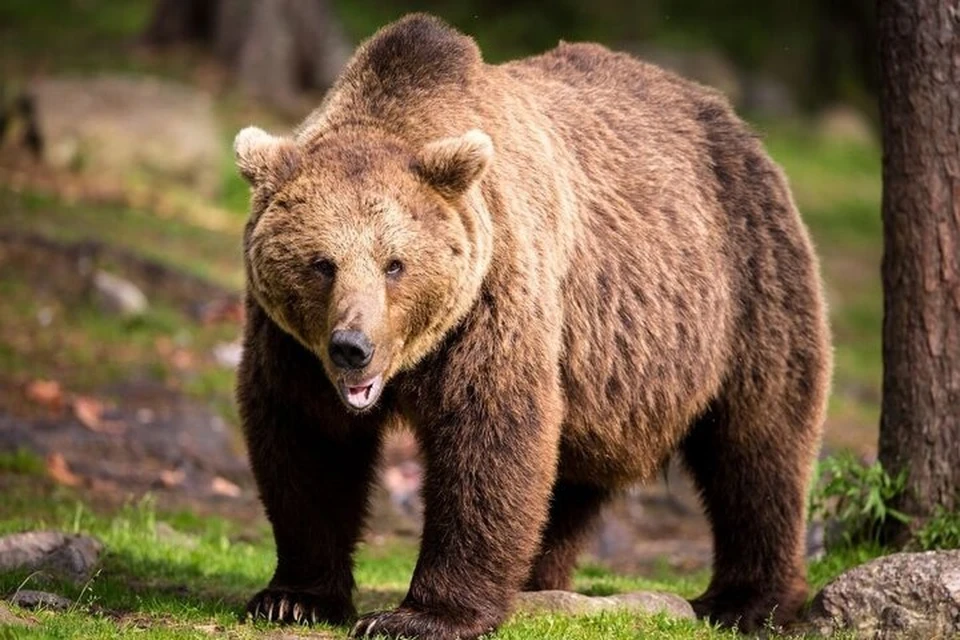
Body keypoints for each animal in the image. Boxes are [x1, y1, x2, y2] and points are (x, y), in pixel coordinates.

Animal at [234, 11, 832, 640]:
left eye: (395, 263)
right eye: (322, 263)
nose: (354, 347)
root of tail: (734, 121)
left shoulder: (492, 296)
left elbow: (489, 435)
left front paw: (418, 615)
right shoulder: (292, 346)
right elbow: (308, 440)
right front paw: (293, 597)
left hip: (746, 287)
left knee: (758, 445)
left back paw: (747, 600)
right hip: (605, 376)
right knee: (570, 481)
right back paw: (537, 580)